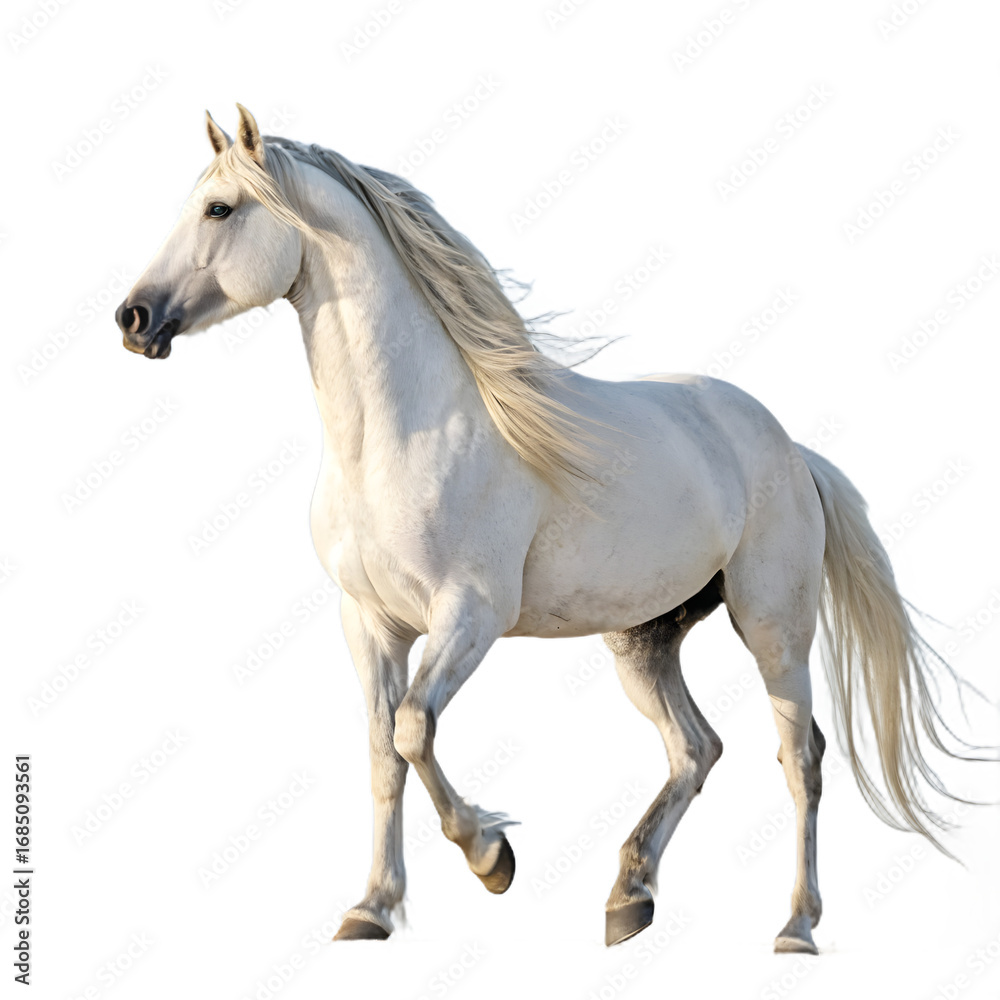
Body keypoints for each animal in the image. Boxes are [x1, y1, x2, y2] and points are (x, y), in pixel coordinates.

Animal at [115, 105, 978, 955]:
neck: (402, 437)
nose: (134, 317)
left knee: (800, 758)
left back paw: (794, 926)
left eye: (220, 208)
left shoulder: (470, 614)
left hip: (774, 629)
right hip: (644, 640)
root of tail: (793, 451)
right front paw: (371, 909)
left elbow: (414, 729)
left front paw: (490, 855)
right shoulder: (369, 622)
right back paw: (629, 897)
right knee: (695, 748)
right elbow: (382, 755)